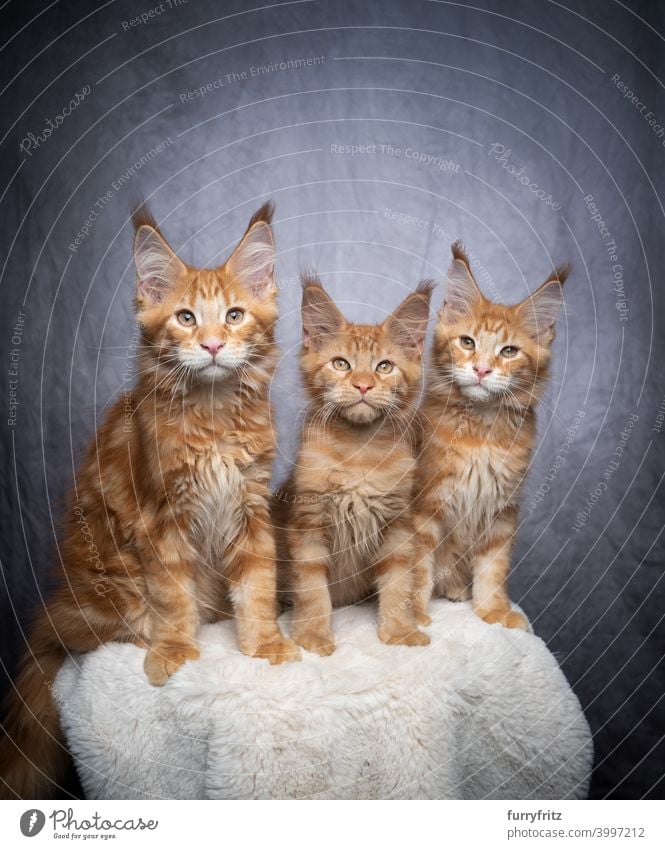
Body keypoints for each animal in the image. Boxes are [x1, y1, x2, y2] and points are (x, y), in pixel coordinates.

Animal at [0, 202, 298, 800]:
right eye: (185, 318)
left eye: (234, 316)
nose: (212, 345)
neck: (214, 413)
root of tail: (56, 614)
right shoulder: (161, 516)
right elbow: (173, 594)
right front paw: (177, 651)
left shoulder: (250, 507)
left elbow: (257, 584)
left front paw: (264, 643)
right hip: (114, 589)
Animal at [278, 278, 430, 656]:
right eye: (341, 364)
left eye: (384, 367)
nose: (363, 385)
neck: (358, 452)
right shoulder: (308, 522)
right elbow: (312, 590)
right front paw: (313, 635)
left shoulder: (398, 524)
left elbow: (398, 584)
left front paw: (400, 631)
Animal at [412, 240, 568, 628]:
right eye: (467, 342)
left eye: (509, 351)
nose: (481, 370)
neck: (481, 432)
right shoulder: (424, 506)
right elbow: (416, 568)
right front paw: (411, 616)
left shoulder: (502, 509)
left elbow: (493, 568)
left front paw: (494, 611)